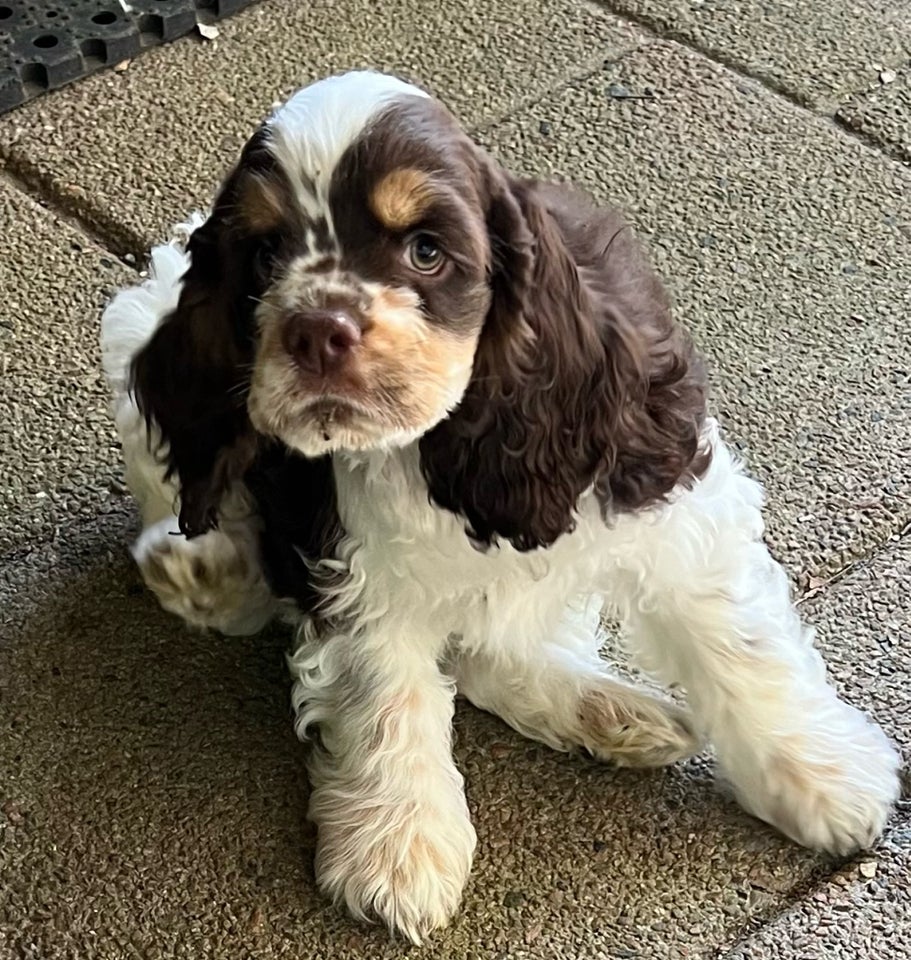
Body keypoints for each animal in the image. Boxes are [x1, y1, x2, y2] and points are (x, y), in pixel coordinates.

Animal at [98, 69, 896, 944]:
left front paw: (824, 780)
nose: (314, 332)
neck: (446, 442)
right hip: (136, 340)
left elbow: (738, 643)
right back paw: (202, 570)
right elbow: (384, 693)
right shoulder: (353, 565)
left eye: (426, 249)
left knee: (491, 643)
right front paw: (397, 849)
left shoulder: (668, 497)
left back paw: (611, 712)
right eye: (266, 255)